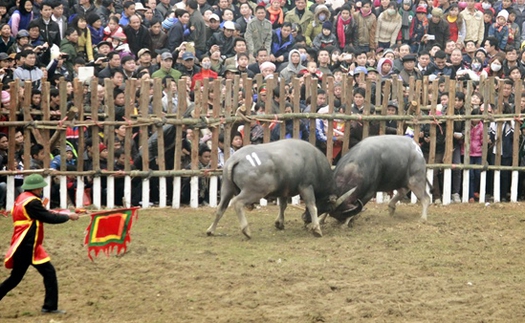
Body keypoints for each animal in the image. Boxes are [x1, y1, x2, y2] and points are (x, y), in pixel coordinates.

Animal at [206, 139, 352, 238]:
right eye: (329, 208)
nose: (305, 218)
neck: (315, 162)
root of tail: (236, 159)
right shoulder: (306, 187)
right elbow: (312, 206)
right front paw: (316, 229)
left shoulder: (284, 190)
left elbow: (283, 205)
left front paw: (279, 223)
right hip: (254, 191)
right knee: (237, 203)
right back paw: (246, 230)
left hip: (227, 188)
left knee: (221, 208)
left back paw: (211, 230)